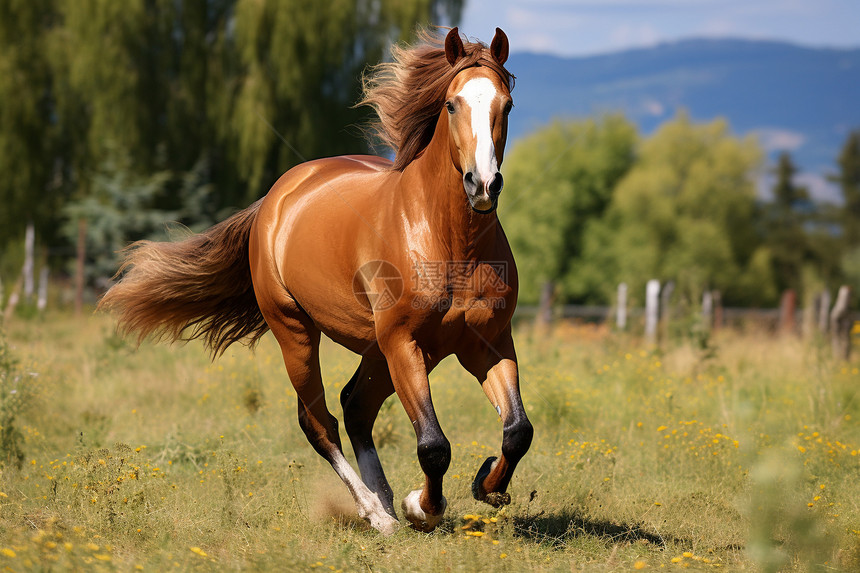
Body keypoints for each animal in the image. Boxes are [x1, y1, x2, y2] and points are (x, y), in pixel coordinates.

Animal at [99, 26, 532, 536]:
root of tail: (275, 197)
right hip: (298, 332)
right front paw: (420, 507)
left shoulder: (487, 343)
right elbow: (432, 444)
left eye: (507, 104)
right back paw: (377, 513)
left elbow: (517, 431)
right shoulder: (404, 341)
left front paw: (488, 486)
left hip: (379, 349)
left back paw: (383, 501)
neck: (448, 242)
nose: (482, 185)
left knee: (355, 406)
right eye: (451, 104)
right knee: (319, 421)